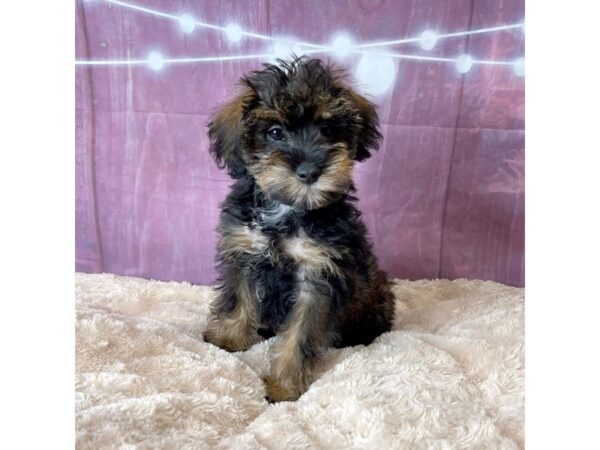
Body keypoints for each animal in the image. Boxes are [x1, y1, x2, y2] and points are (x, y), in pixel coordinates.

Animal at [204, 57, 396, 404]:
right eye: (275, 132)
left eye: (327, 128)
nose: (309, 171)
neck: (287, 211)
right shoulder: (245, 253)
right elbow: (238, 300)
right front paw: (228, 339)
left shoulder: (316, 276)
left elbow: (299, 337)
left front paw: (283, 386)